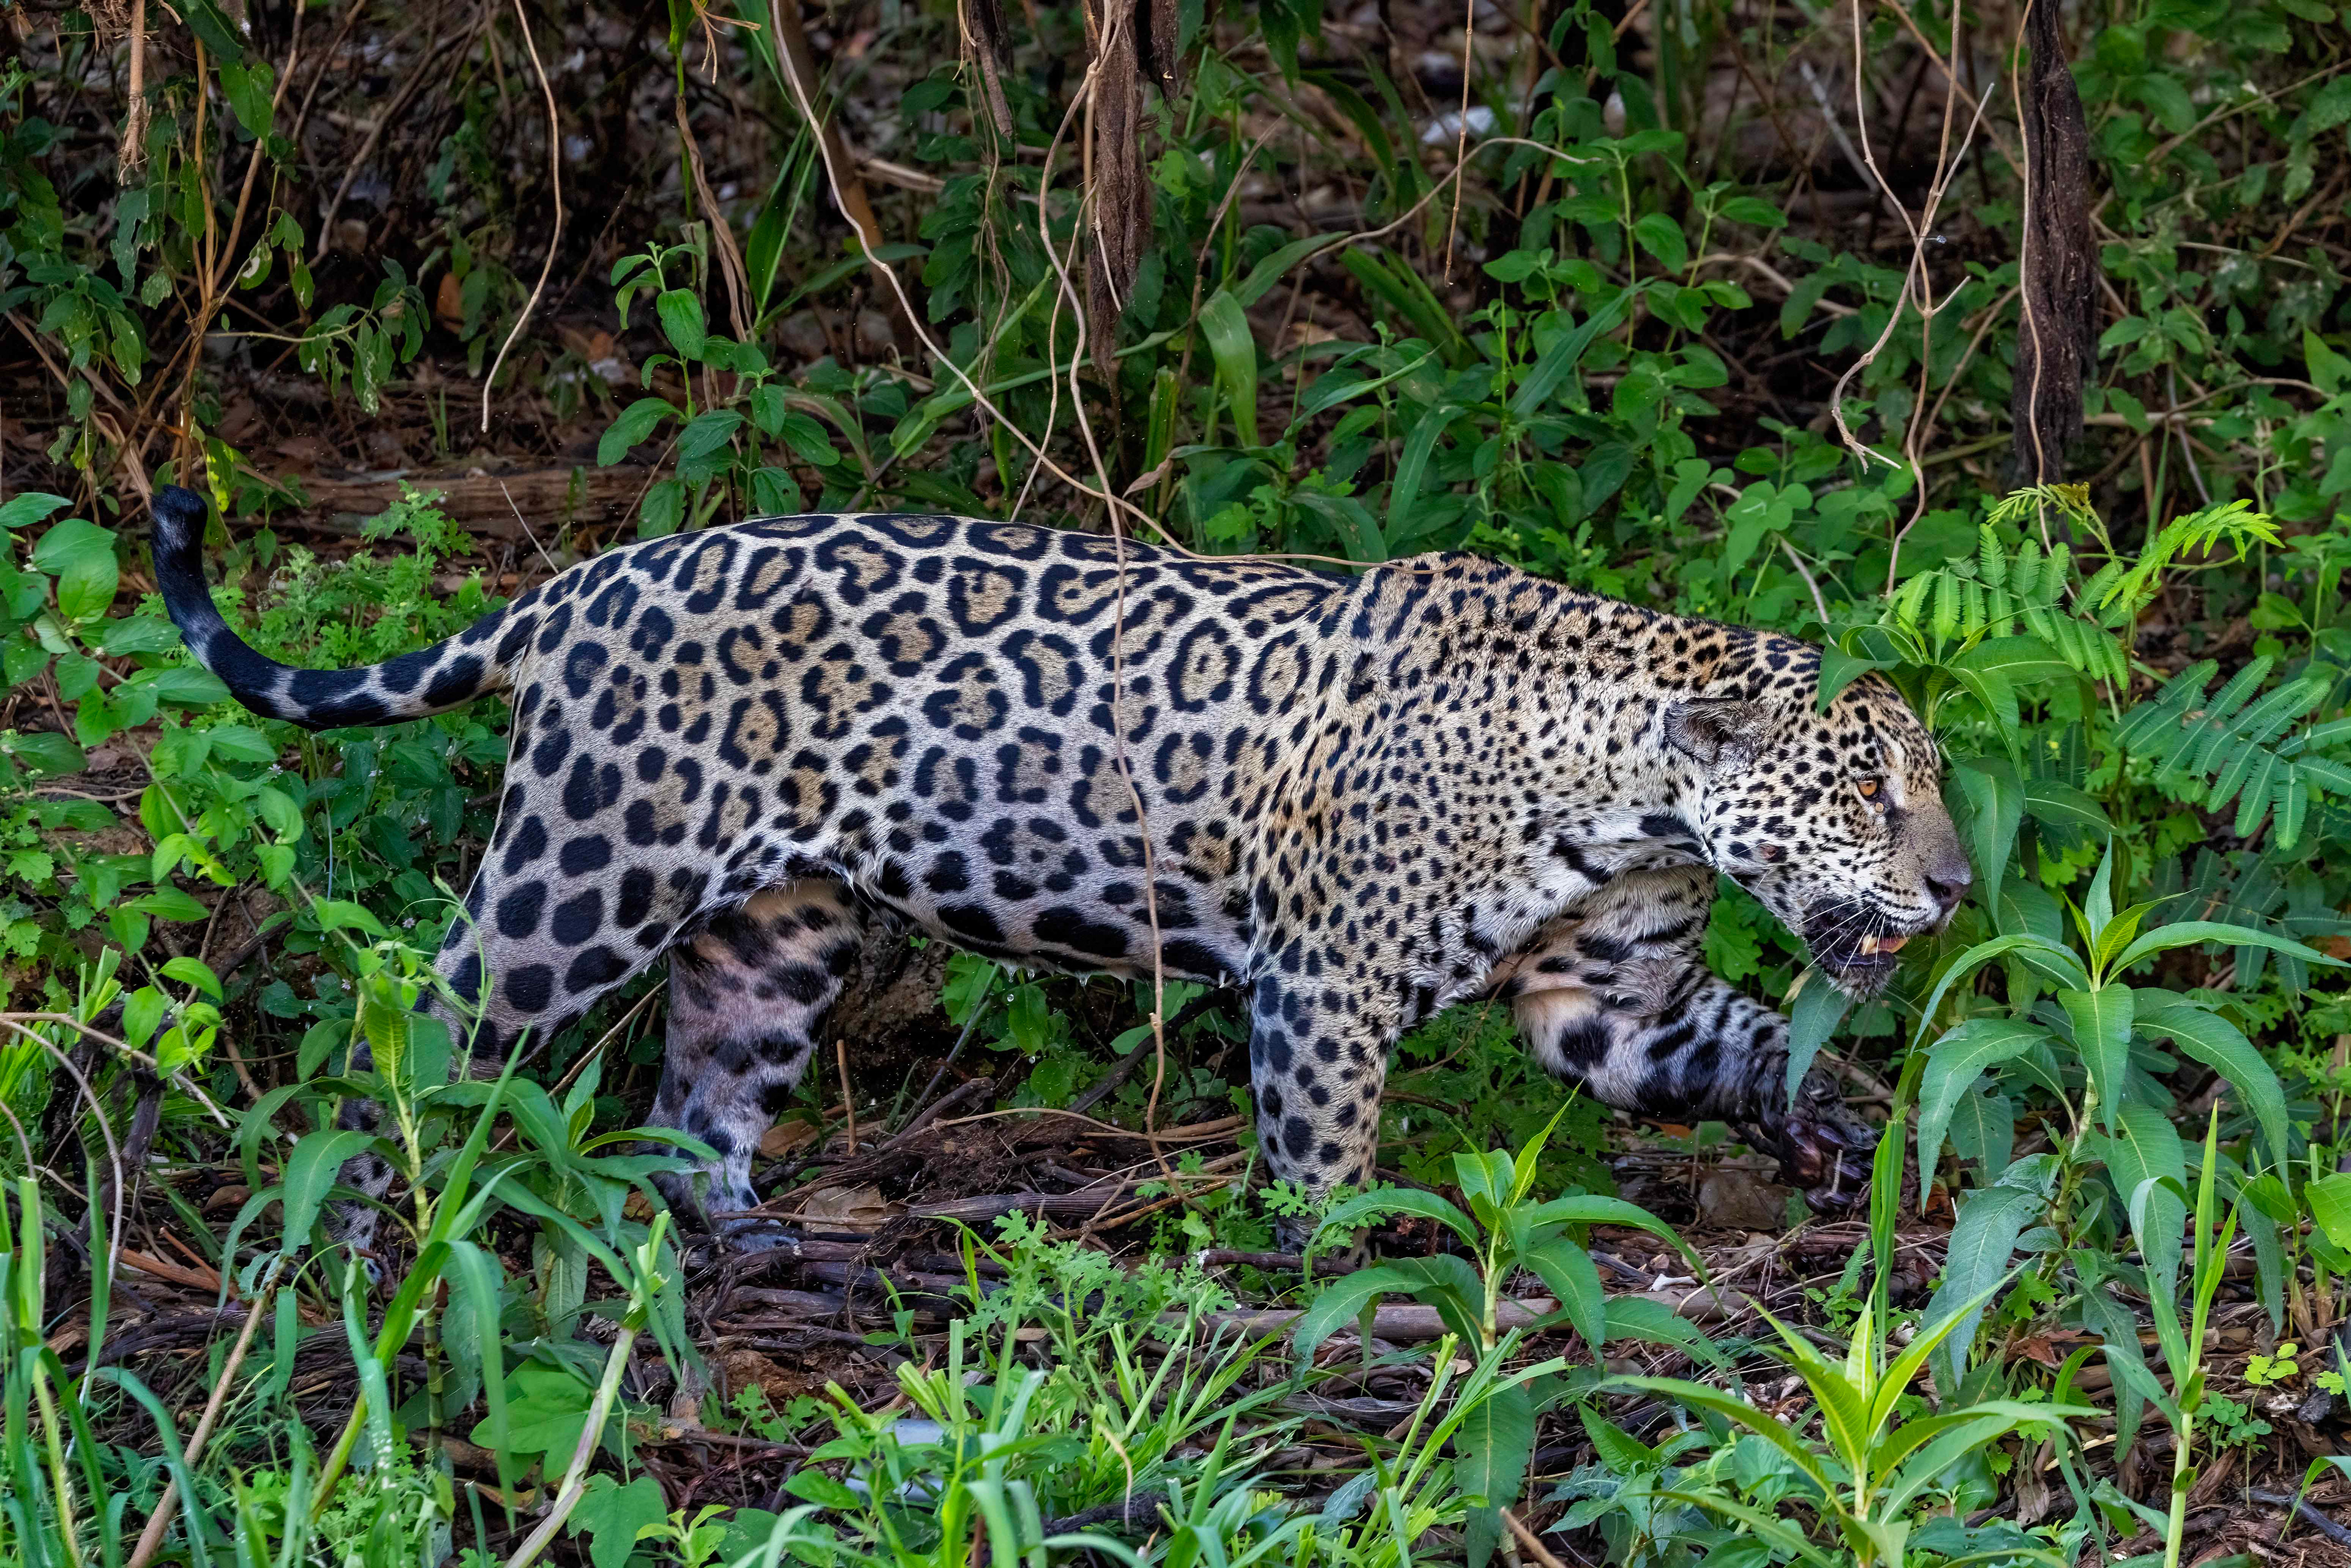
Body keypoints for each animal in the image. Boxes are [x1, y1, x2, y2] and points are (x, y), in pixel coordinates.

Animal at [149, 484, 1970, 1253]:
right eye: (1872, 790)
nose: (1955, 889)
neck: (1632, 787)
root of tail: (574, 585)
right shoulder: (1327, 983)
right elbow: (1321, 1155)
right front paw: (1335, 1284)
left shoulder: (1611, 996)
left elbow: (1736, 1044)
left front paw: (1850, 1137)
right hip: (579, 879)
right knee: (417, 1031)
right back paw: (357, 1238)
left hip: (777, 931)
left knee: (697, 1094)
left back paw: (741, 1241)